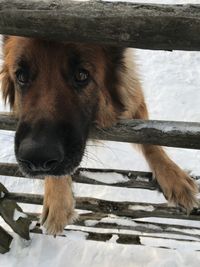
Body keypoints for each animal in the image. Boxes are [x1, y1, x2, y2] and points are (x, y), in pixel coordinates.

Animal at [0, 36, 198, 236]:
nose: (37, 158)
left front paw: (173, 176)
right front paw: (58, 201)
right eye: (22, 76)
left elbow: (150, 138)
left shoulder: (133, 96)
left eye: (81, 75)